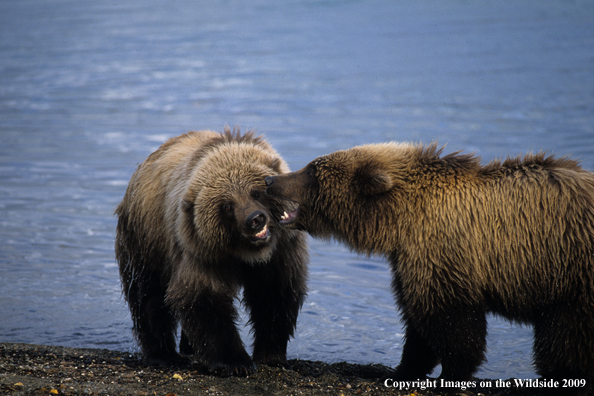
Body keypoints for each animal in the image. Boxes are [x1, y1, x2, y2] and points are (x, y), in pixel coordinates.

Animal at [116, 128, 310, 376]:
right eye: (227, 206)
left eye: (256, 192)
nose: (255, 219)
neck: (246, 253)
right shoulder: (201, 252)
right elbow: (203, 298)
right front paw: (236, 362)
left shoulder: (281, 253)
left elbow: (274, 294)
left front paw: (272, 355)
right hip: (146, 240)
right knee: (148, 296)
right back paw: (162, 355)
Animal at [264, 142, 592, 392]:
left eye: (312, 171)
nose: (270, 181)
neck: (400, 220)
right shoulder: (411, 261)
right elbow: (418, 325)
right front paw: (402, 369)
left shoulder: (441, 253)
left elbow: (450, 322)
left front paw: (449, 375)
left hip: (569, 276)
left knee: (563, 339)